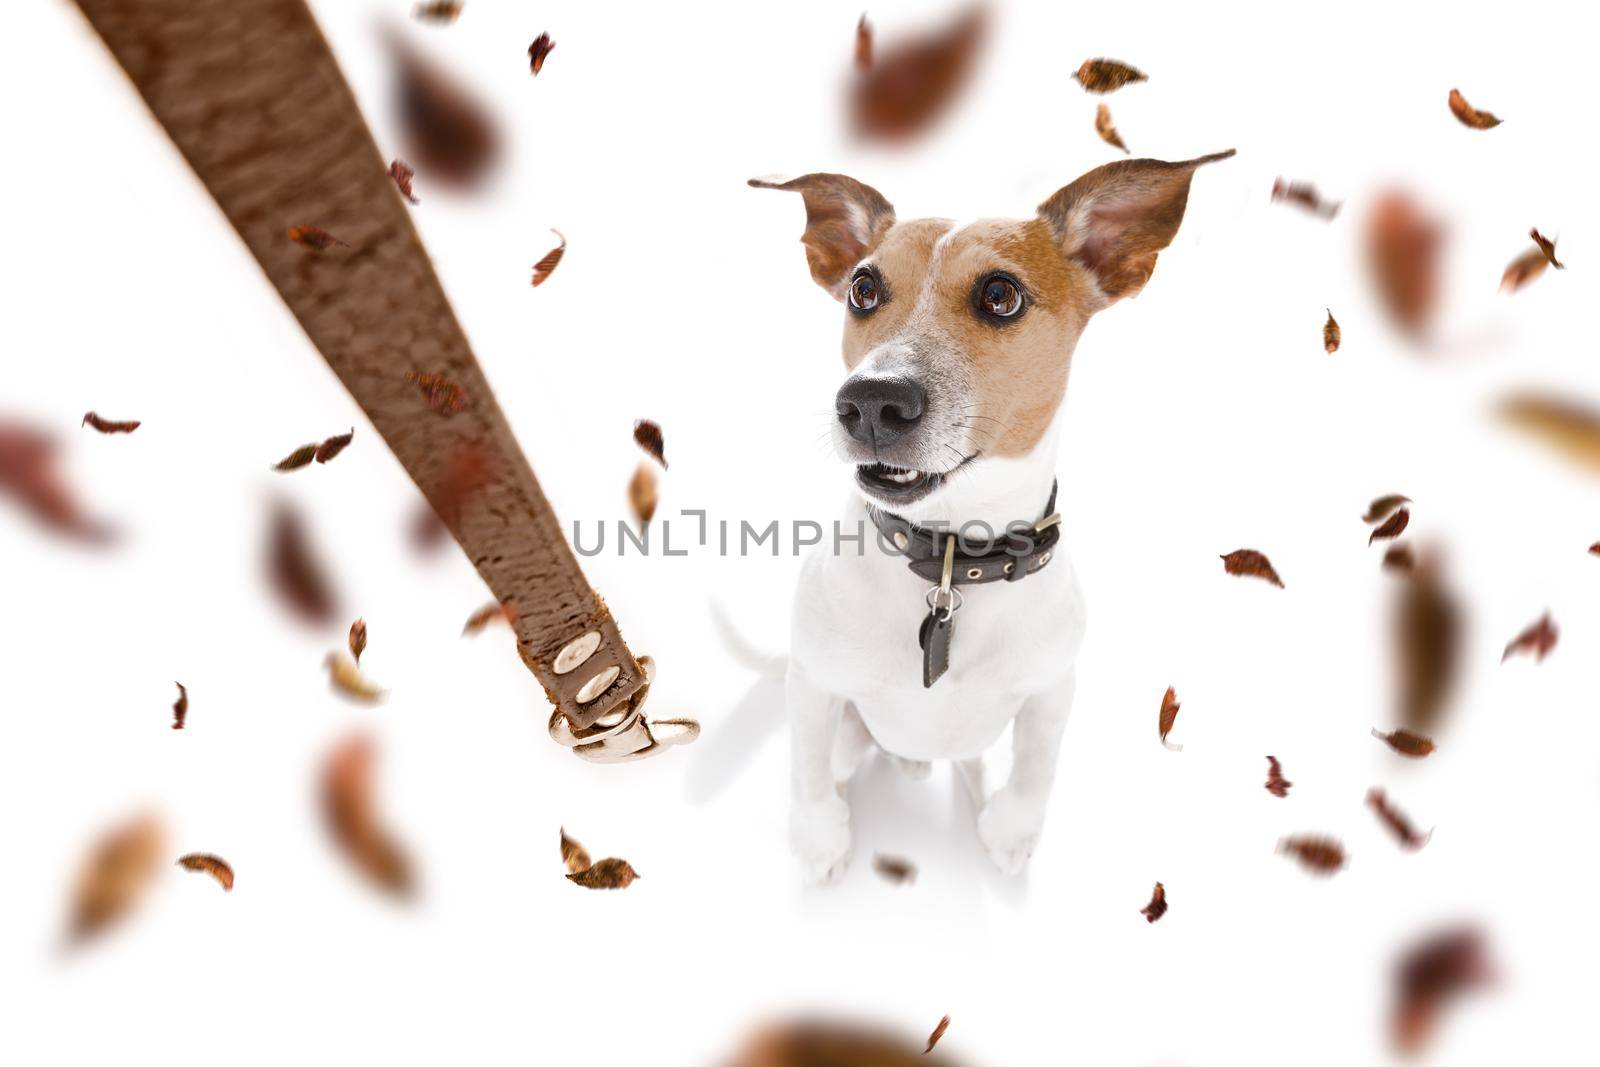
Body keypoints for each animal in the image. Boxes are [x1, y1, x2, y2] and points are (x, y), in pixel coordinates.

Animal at [742, 150, 1228, 883]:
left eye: (1001, 295)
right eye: (863, 289)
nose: (870, 401)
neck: (948, 559)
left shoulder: (1052, 691)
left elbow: (1034, 771)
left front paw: (1010, 833)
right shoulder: (816, 686)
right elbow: (808, 771)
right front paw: (819, 837)